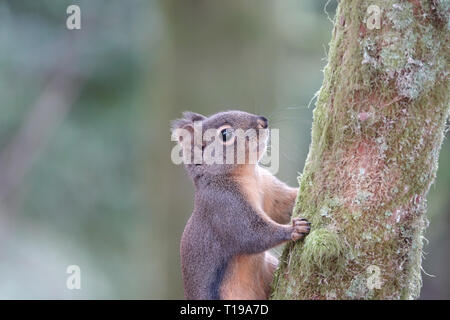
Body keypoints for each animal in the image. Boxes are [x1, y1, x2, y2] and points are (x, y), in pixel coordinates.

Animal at [171, 110, 312, 300]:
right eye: (225, 134)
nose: (263, 121)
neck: (247, 174)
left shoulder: (267, 187)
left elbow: (284, 206)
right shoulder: (225, 206)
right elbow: (251, 234)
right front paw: (293, 229)